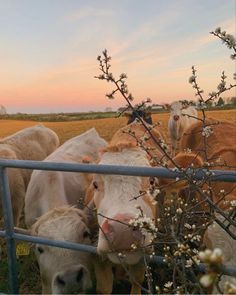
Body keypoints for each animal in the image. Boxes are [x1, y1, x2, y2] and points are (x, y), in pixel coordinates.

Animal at [85, 121, 166, 294]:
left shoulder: (144, 255)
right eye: (95, 184)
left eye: (152, 181)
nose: (123, 231)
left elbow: (137, 281)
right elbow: (104, 287)